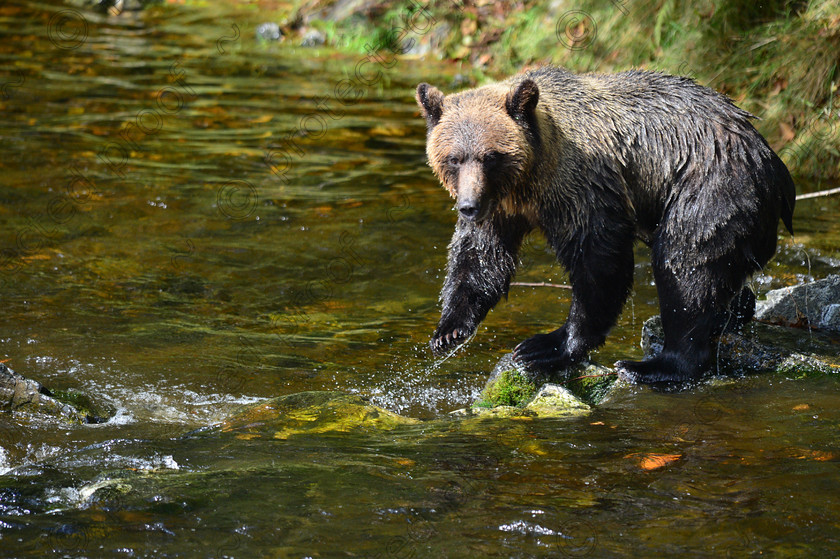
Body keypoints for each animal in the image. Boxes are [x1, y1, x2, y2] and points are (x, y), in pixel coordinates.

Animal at [416, 66, 796, 384]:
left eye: (491, 156)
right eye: (454, 157)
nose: (468, 207)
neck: (530, 180)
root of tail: (770, 159)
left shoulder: (582, 185)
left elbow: (598, 258)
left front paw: (548, 346)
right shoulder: (500, 210)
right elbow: (481, 256)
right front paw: (449, 330)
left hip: (710, 187)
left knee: (686, 265)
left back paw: (654, 366)